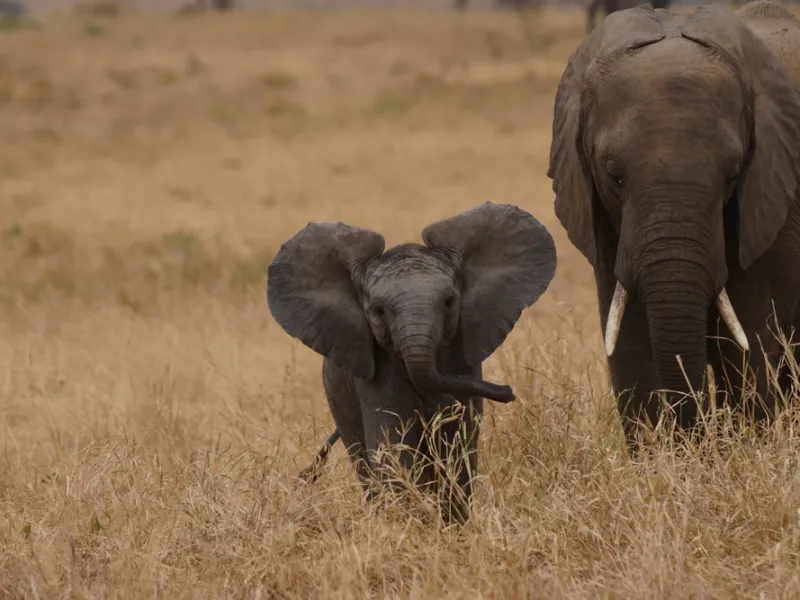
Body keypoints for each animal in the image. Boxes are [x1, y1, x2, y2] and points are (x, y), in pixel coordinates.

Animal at [267, 202, 557, 522]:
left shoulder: (462, 360)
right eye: (378, 310)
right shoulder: (376, 372)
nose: (508, 391)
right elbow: (394, 447)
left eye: (449, 301)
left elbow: (457, 444)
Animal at [547, 1, 800, 447]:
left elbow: (744, 347)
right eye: (613, 175)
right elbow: (628, 344)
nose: (699, 442)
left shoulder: (769, 208)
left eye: (733, 173)